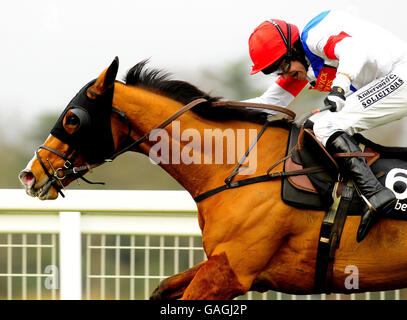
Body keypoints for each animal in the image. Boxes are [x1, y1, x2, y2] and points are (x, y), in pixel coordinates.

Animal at [19, 57, 407, 300]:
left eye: (72, 119)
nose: (30, 174)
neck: (240, 168)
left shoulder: (231, 272)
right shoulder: (222, 264)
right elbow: (162, 287)